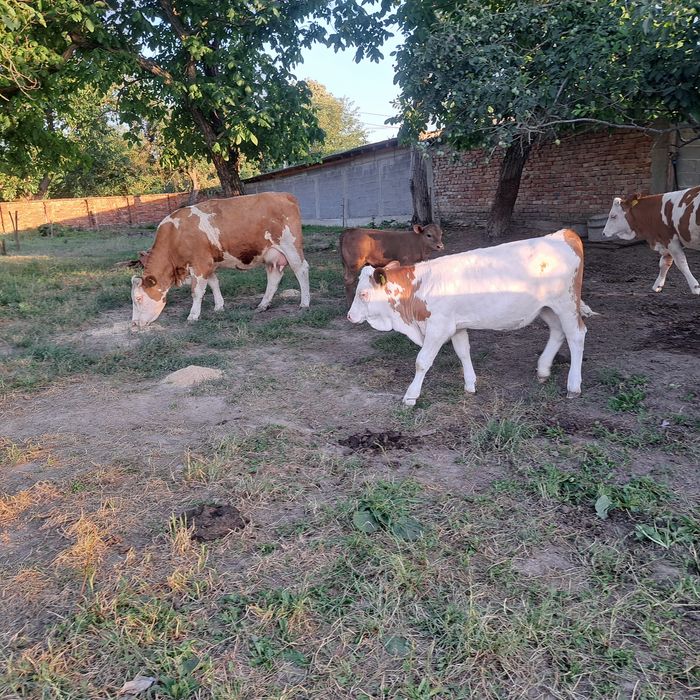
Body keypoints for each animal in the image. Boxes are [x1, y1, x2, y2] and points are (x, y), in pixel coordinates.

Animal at [131, 192, 310, 329]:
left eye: (138, 298)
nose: (134, 324)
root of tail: (284, 195)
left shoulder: (200, 264)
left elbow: (197, 291)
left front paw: (193, 315)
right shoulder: (208, 264)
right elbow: (214, 284)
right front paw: (219, 306)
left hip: (291, 246)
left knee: (301, 270)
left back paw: (304, 303)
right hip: (271, 255)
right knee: (274, 277)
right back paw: (263, 305)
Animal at [347, 229, 594, 406]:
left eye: (363, 294)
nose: (350, 316)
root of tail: (562, 234)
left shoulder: (438, 328)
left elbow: (422, 361)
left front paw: (411, 396)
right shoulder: (456, 326)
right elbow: (463, 352)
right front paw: (470, 384)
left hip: (566, 304)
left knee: (576, 334)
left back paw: (573, 386)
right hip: (546, 308)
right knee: (558, 331)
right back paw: (543, 369)